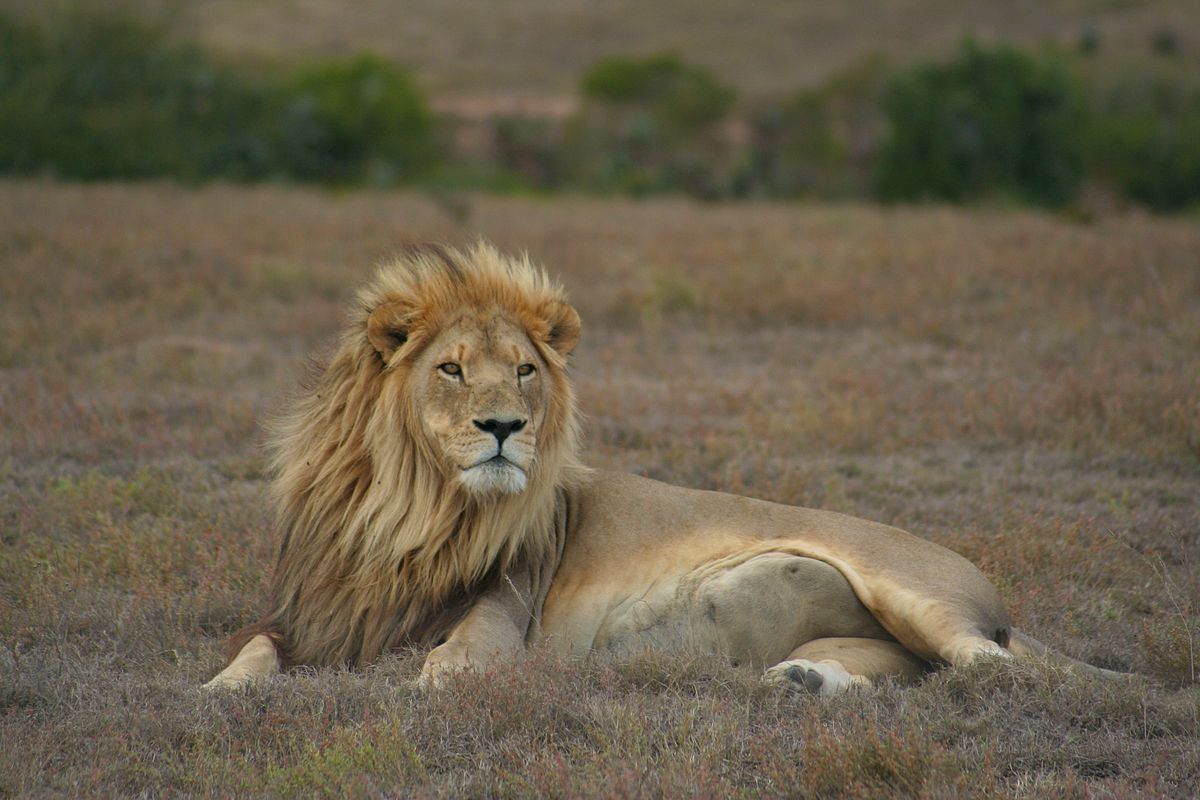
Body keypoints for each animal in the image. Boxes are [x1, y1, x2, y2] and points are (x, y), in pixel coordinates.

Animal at [206, 239, 1113, 695]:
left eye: (524, 371)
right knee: (913, 668)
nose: (503, 427)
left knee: (994, 668)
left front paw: (430, 680)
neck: (413, 506)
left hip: (914, 592)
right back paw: (802, 680)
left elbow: (452, 664)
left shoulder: (507, 607)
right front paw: (222, 688)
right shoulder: (311, 613)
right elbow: (253, 652)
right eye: (452, 370)